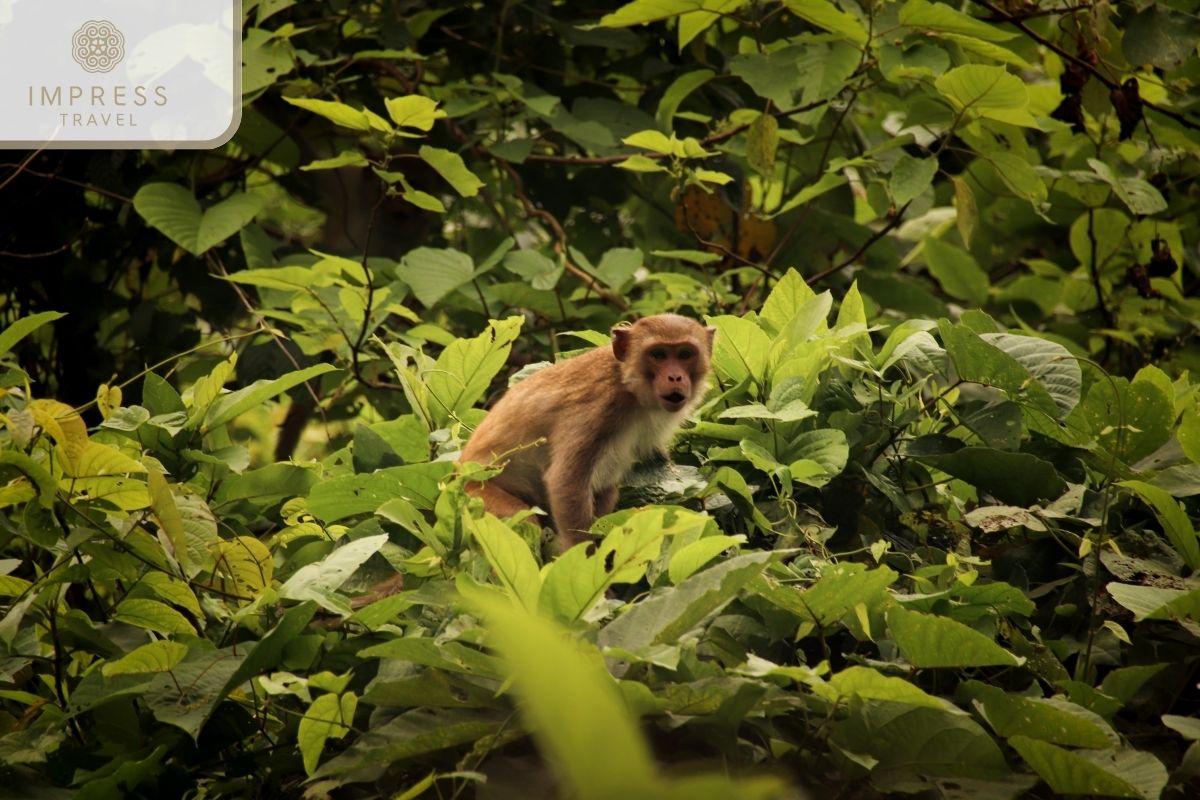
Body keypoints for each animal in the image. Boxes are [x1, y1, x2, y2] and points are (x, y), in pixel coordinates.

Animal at [460, 311, 710, 551]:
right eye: (658, 355)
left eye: (685, 354)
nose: (675, 376)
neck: (627, 384)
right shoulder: (597, 407)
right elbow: (565, 482)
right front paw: (586, 557)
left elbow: (606, 485)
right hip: (478, 496)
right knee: (524, 521)